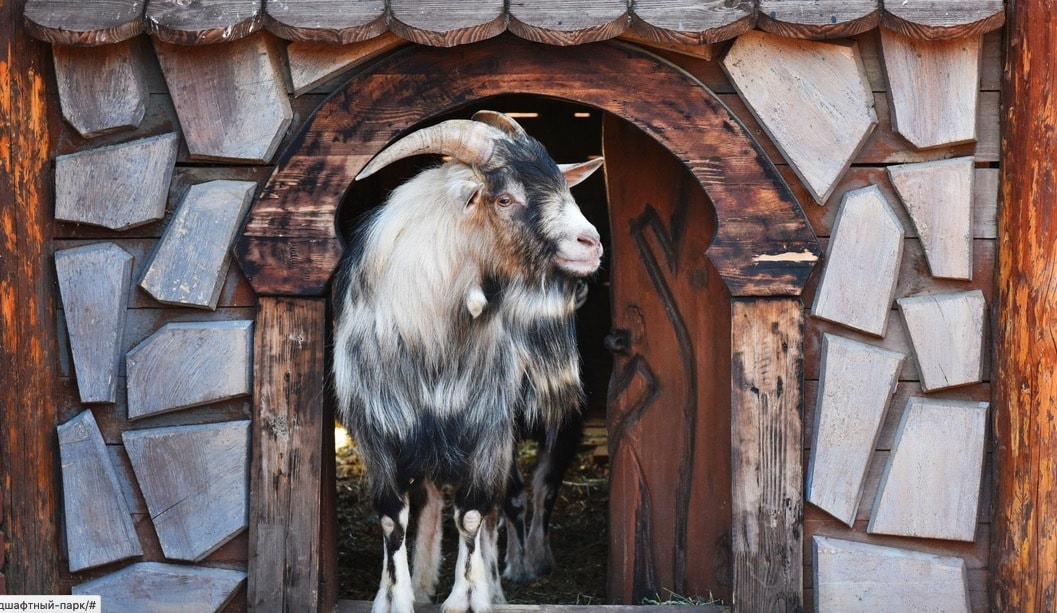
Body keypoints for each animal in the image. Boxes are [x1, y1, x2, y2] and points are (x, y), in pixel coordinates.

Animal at [334, 111, 608, 613]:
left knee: (500, 505)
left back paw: (495, 586)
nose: (590, 243)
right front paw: (394, 597)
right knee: (429, 499)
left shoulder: (485, 432)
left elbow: (474, 515)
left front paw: (465, 597)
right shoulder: (379, 433)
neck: (433, 343)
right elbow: (392, 519)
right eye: (505, 198)